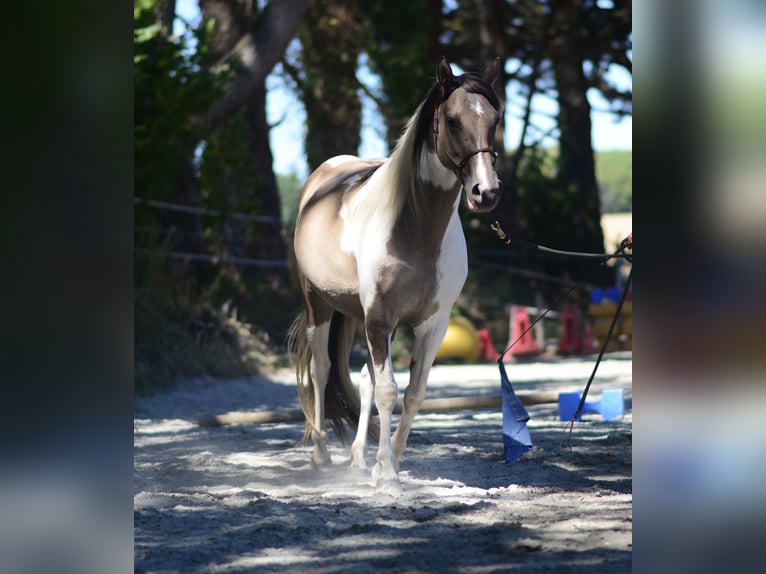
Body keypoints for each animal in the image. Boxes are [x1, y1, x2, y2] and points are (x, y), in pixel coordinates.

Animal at [288, 57, 504, 496]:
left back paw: (358, 459)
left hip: (357, 318)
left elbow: (414, 393)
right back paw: (321, 456)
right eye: (453, 120)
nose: (485, 192)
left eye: (495, 118)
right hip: (321, 306)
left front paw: (391, 462)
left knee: (363, 380)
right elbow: (389, 390)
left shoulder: (432, 324)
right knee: (321, 371)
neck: (414, 227)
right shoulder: (381, 317)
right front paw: (387, 473)